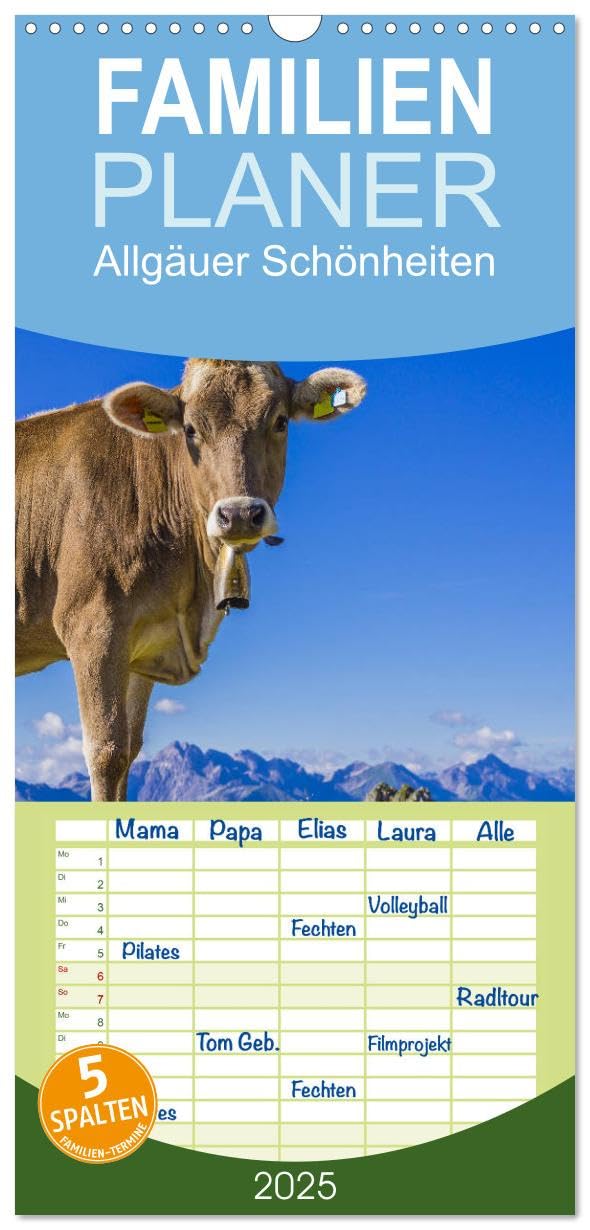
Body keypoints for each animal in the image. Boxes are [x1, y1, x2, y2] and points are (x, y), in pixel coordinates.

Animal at [16, 360, 367, 801]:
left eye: (281, 421)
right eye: (190, 429)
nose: (239, 514)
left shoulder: (143, 642)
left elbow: (129, 752)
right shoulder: (92, 626)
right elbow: (106, 752)